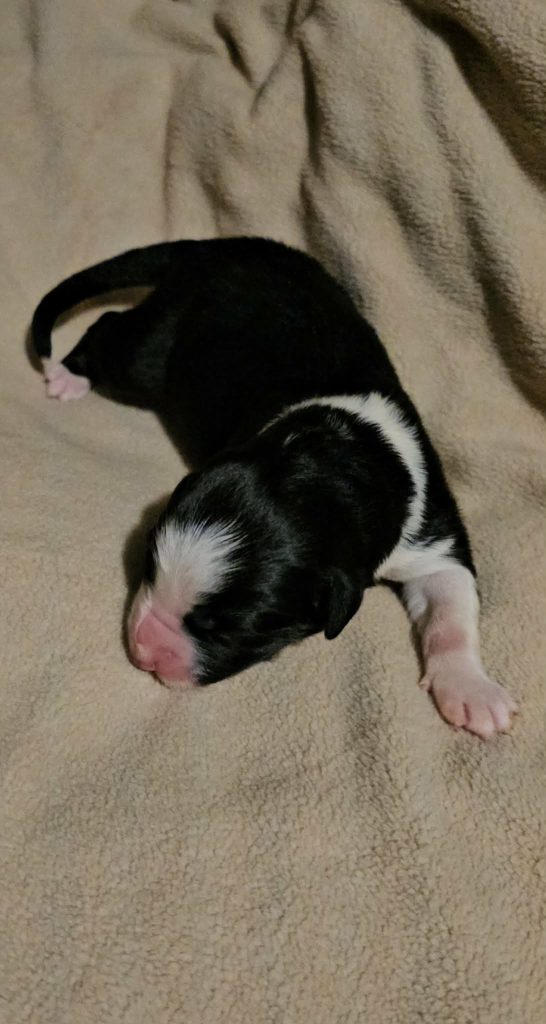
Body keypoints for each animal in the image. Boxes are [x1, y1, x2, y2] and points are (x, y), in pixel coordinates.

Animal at [31, 236, 517, 737]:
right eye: (148, 566)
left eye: (228, 630)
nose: (143, 650)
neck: (338, 455)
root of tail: (217, 247)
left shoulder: (431, 529)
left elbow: (451, 606)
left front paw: (472, 691)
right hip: (151, 352)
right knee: (110, 330)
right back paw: (69, 376)